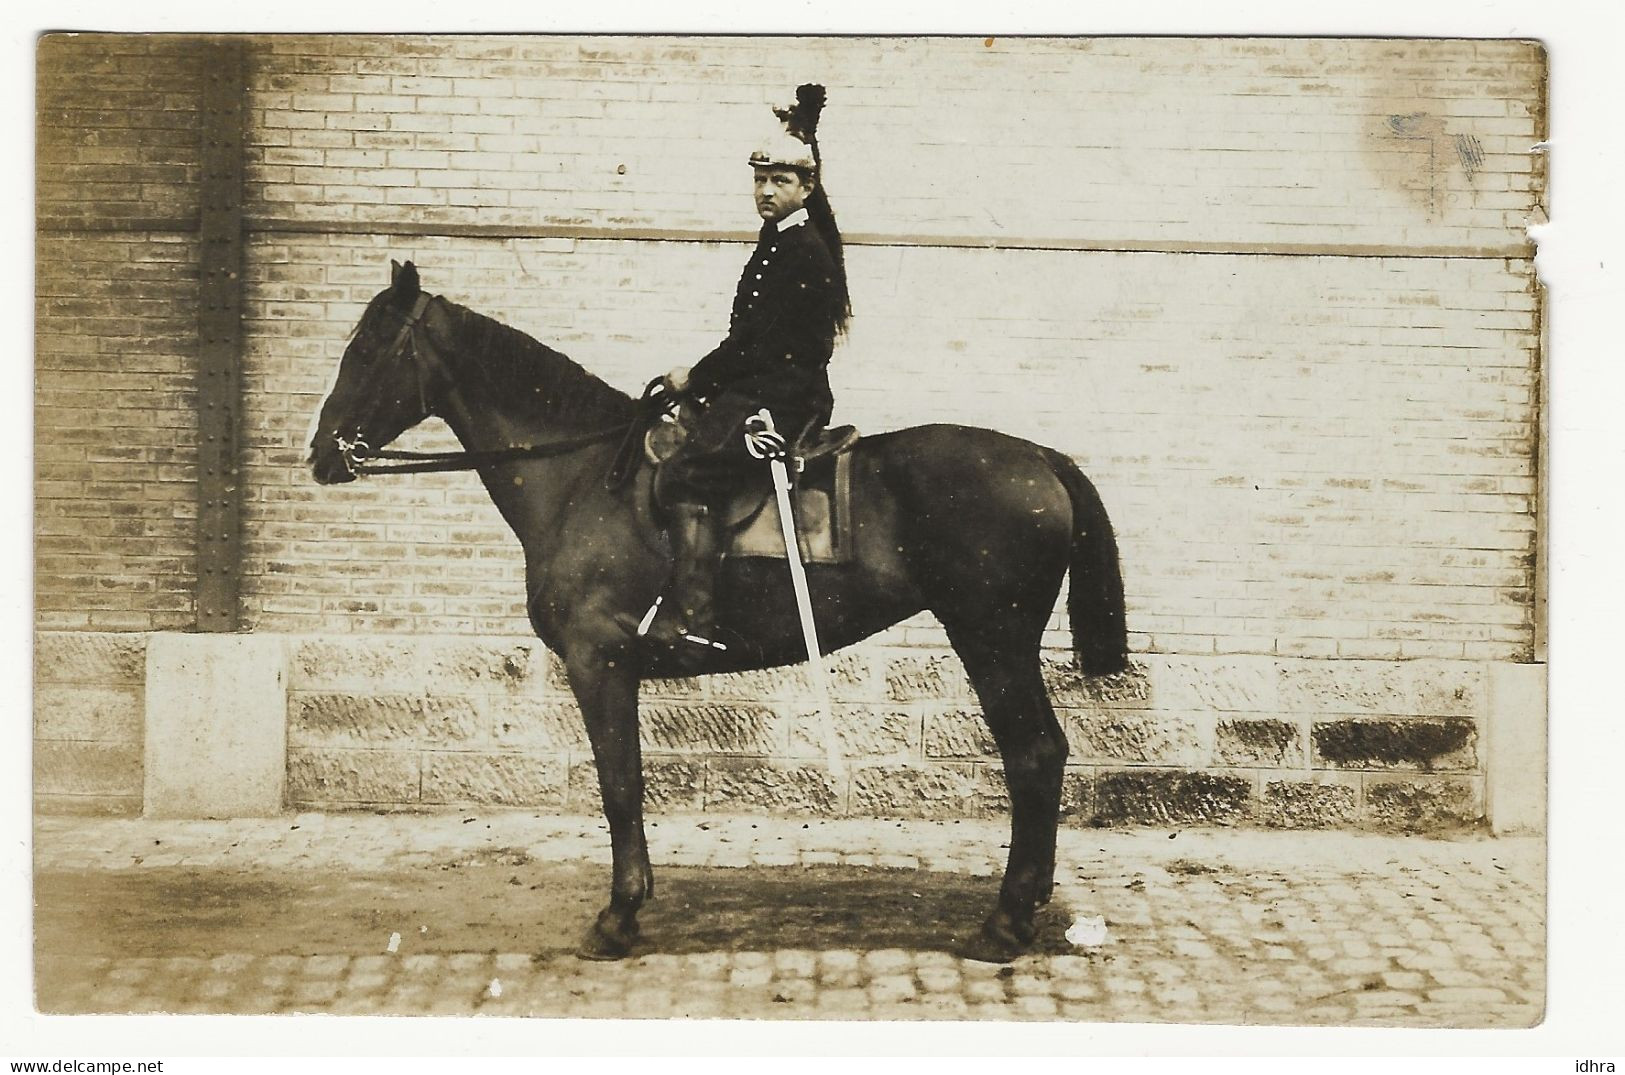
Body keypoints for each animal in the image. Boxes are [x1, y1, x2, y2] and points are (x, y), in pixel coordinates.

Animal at [307, 263, 1131, 967]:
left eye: (369, 347)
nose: (320, 453)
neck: (582, 478)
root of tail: (1041, 458)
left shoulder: (598, 661)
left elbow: (620, 785)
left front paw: (618, 917)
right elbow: (625, 783)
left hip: (991, 640)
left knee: (1033, 755)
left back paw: (1004, 923)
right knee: (1044, 753)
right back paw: (1026, 904)